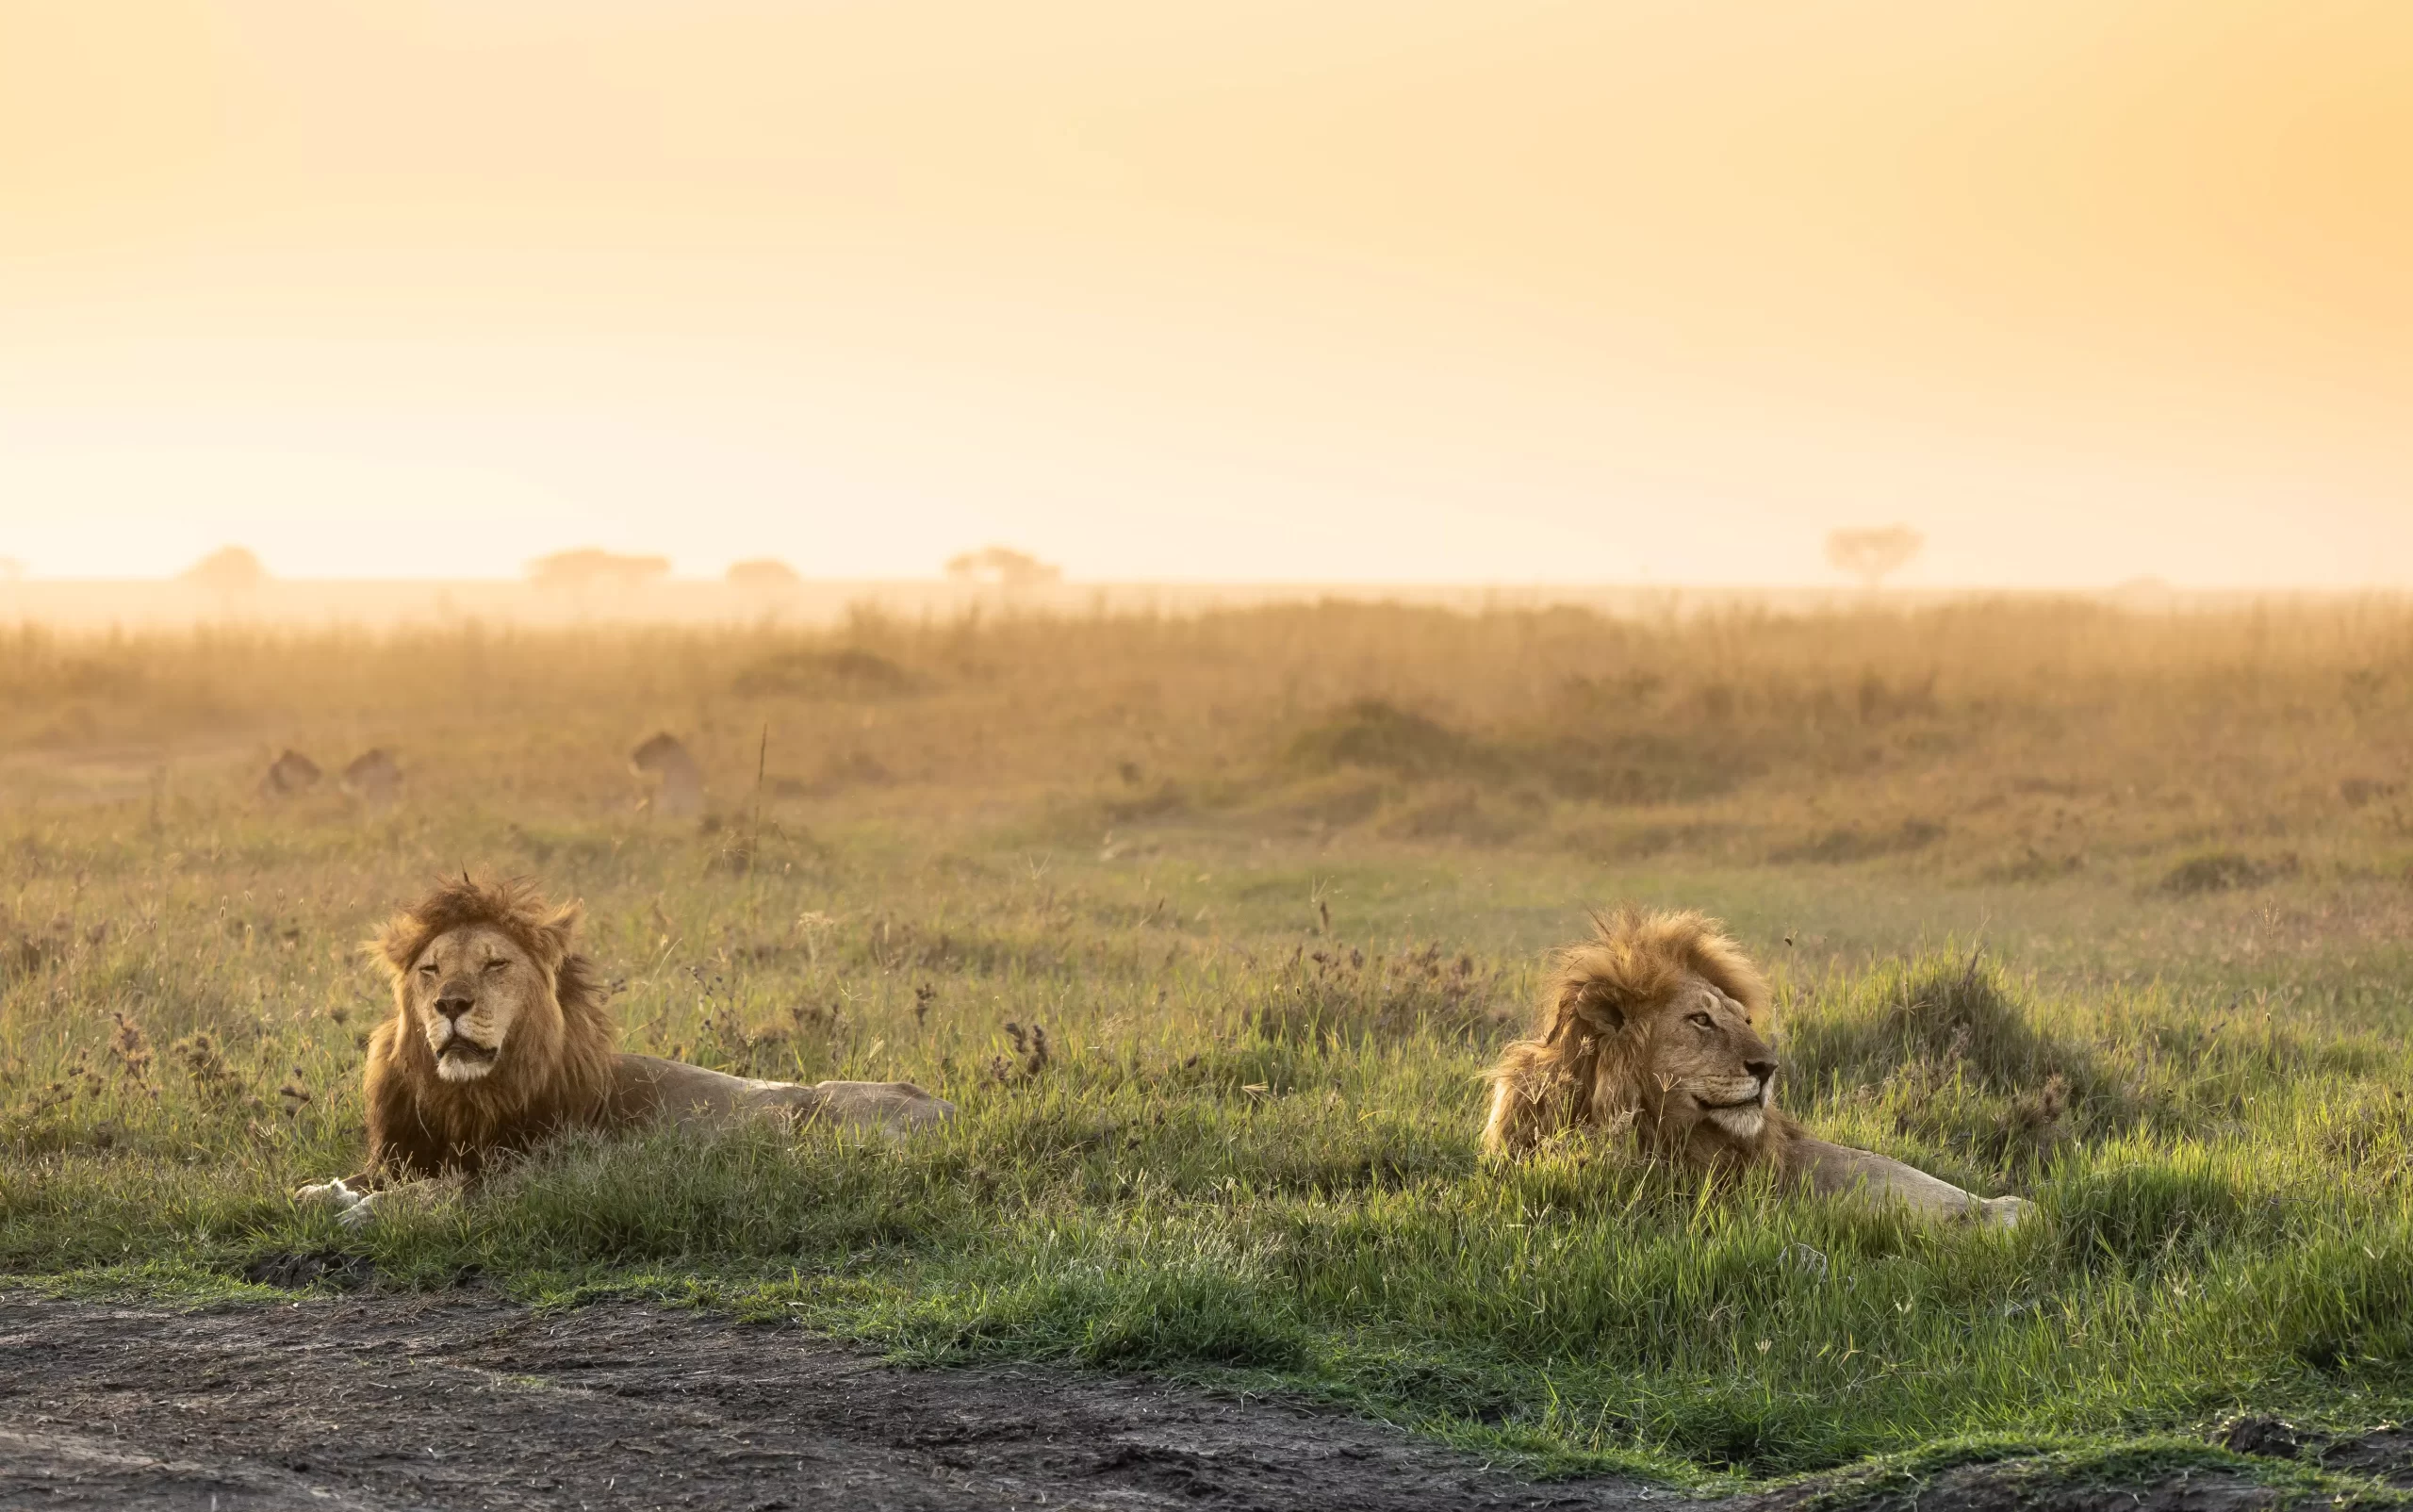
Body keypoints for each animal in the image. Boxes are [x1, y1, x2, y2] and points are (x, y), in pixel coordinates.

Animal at [294, 882, 950, 1224]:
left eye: (495, 963)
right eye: (430, 969)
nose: (449, 1003)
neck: (467, 1096)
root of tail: (947, 1109)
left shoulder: (540, 1170)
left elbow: (441, 1191)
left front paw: (364, 1212)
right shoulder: (408, 1152)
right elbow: (344, 1183)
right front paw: (325, 1193)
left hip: (826, 1115)